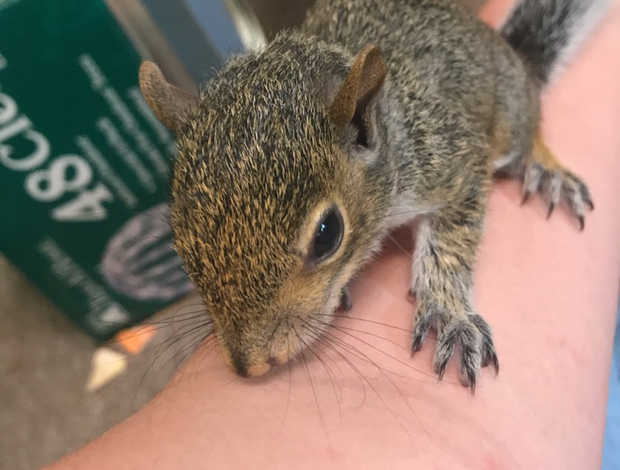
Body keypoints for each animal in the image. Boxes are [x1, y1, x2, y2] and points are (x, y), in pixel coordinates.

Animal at [138, 0, 608, 392]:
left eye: (327, 234)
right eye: (179, 240)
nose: (248, 365)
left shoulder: (450, 157)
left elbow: (451, 242)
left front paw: (447, 309)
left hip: (508, 117)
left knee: (528, 129)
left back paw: (545, 168)